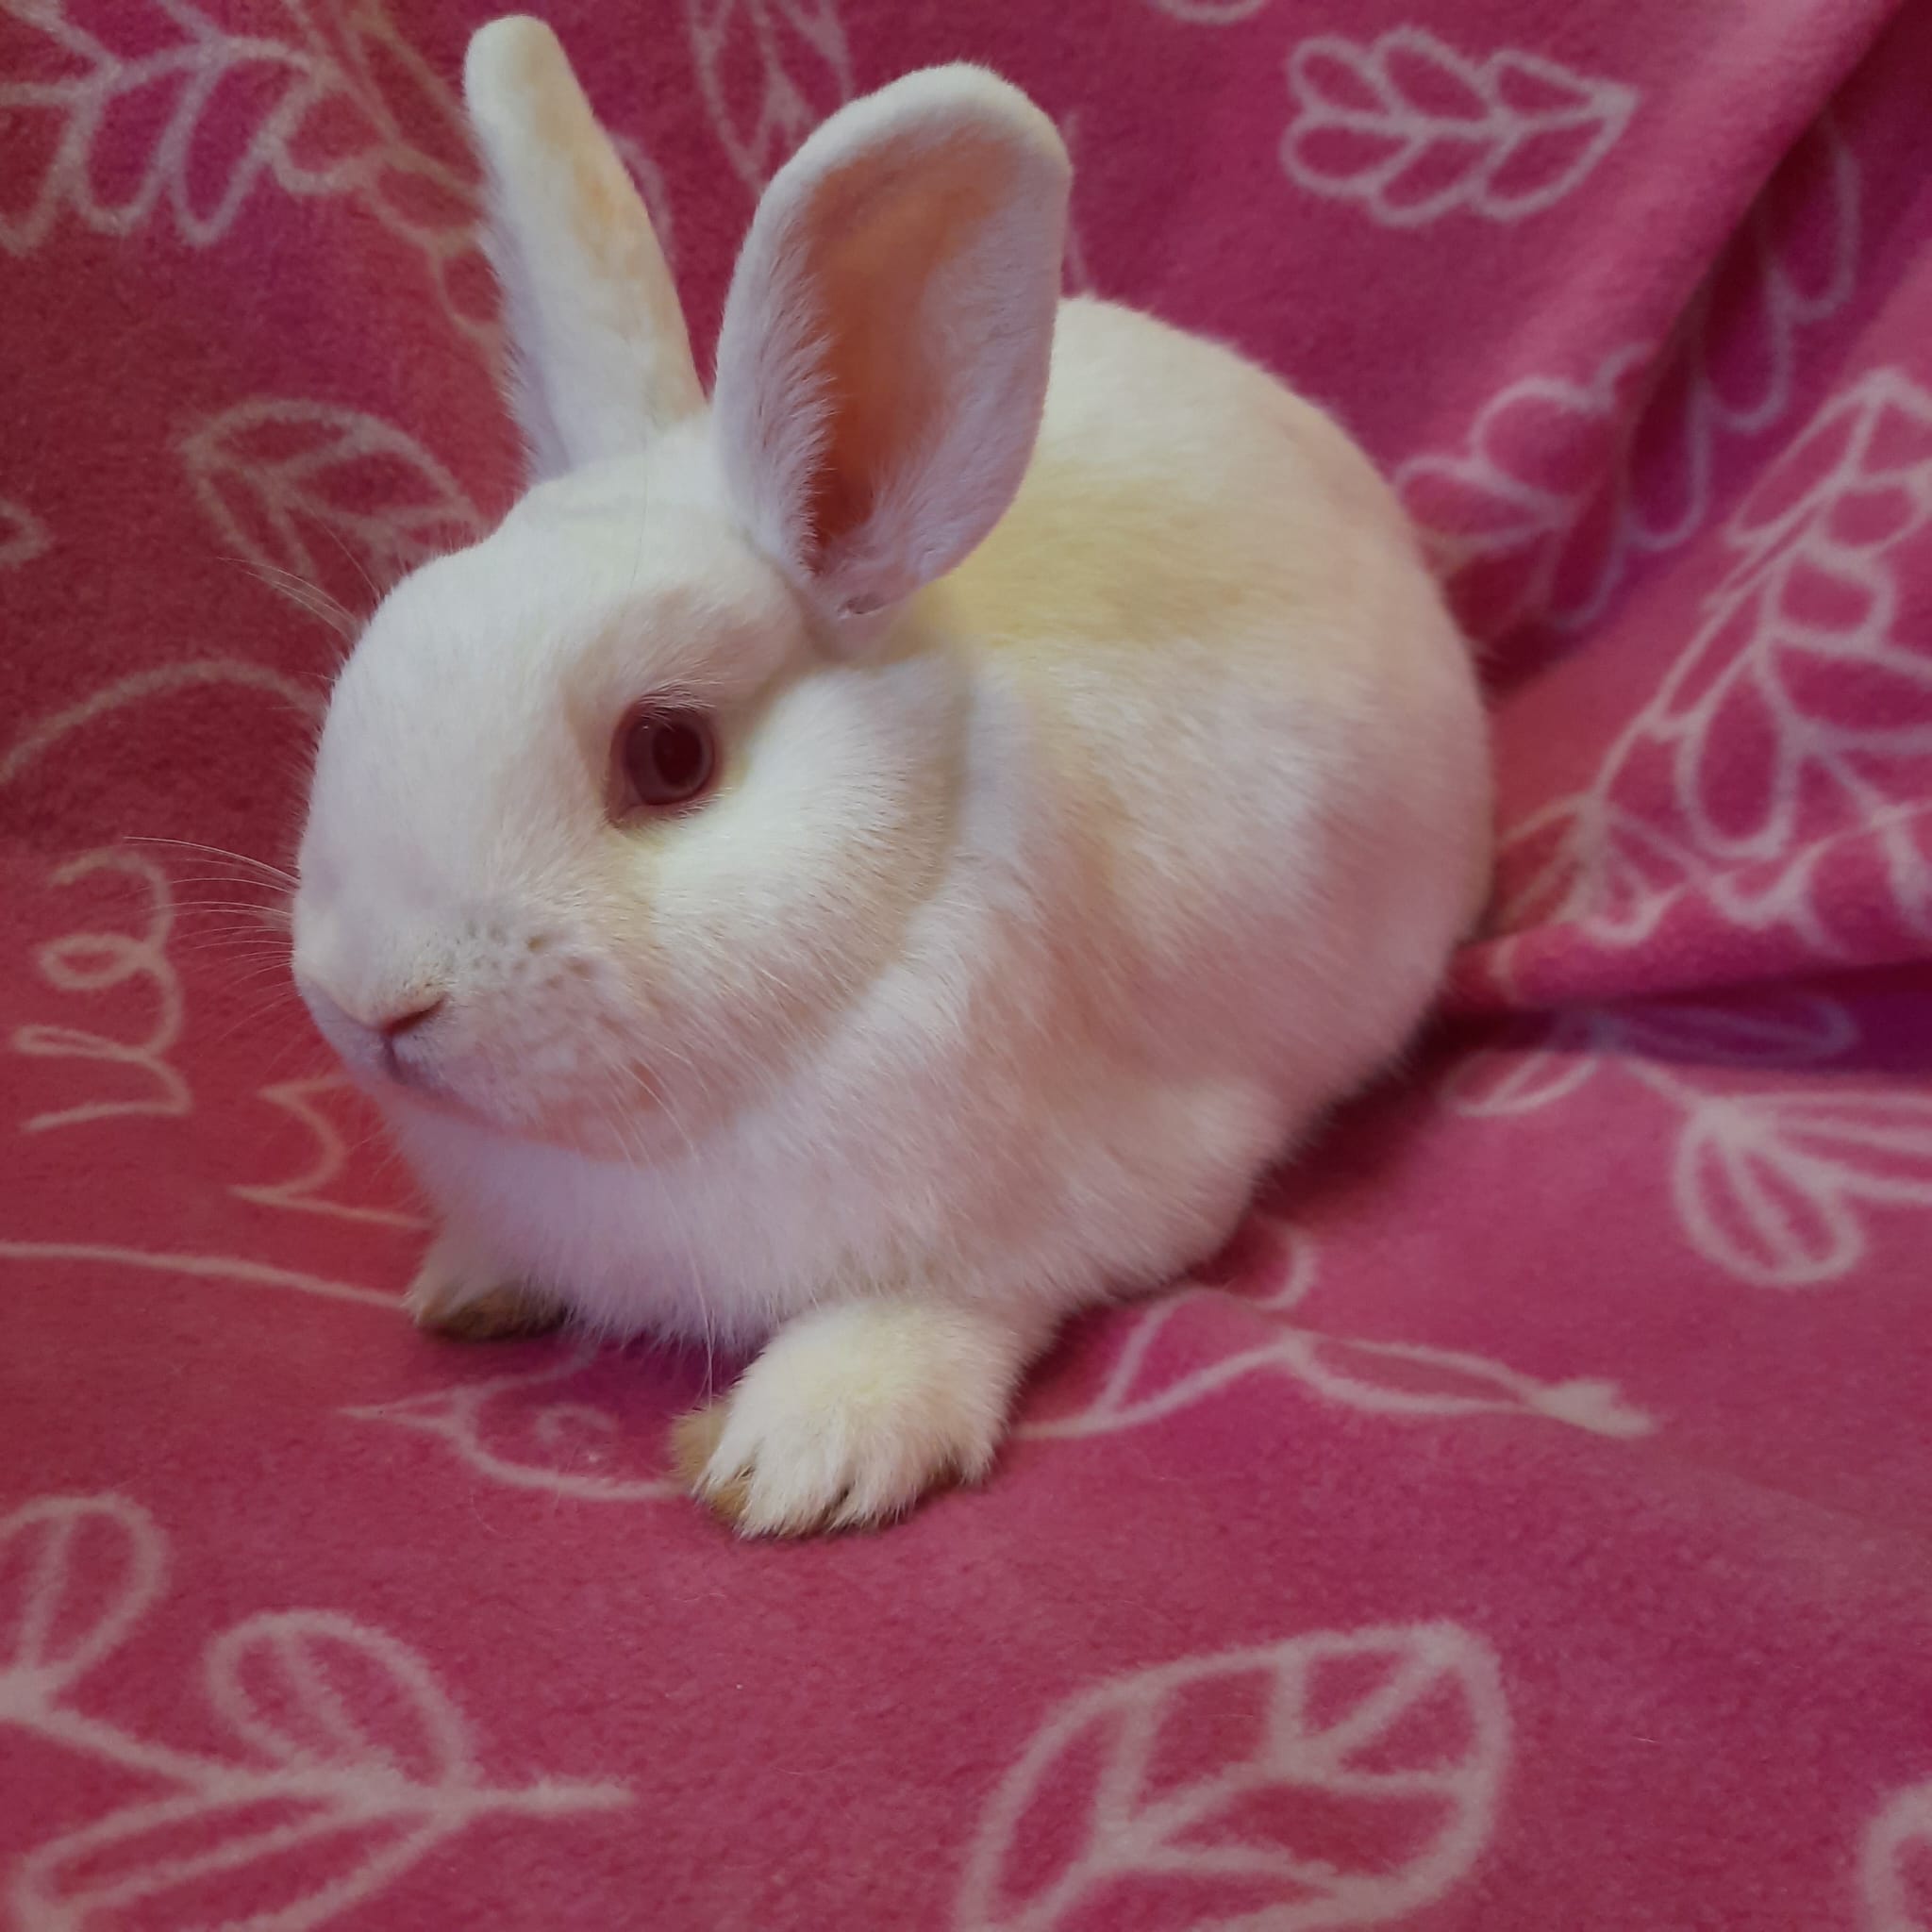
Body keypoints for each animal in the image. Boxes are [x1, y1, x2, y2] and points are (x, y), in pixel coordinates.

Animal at [291, 15, 1492, 1536]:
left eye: (668, 755)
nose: (370, 998)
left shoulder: (1076, 1208)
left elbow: (937, 1309)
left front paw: (800, 1452)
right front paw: (469, 1281)